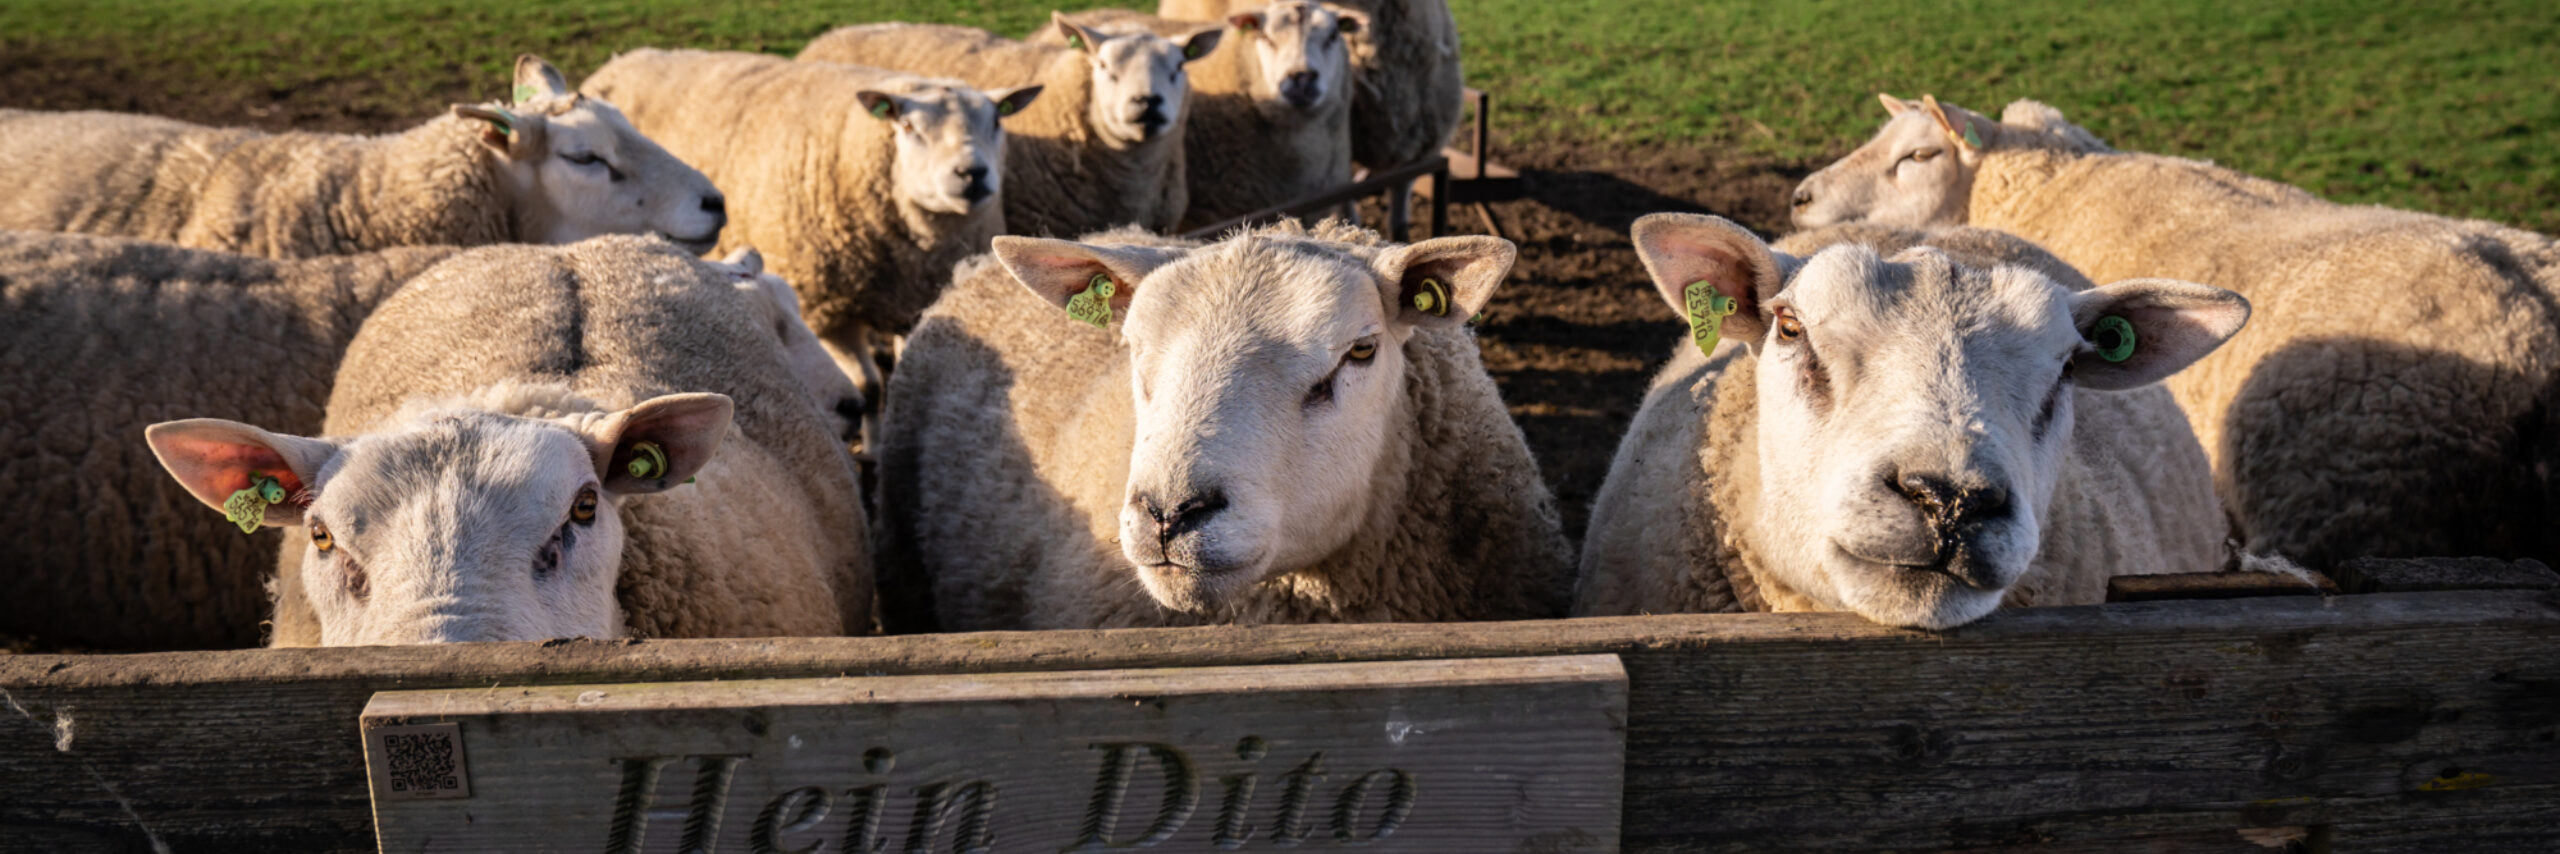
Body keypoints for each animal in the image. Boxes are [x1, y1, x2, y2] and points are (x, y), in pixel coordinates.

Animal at [581, 48, 1042, 350]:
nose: (972, 173)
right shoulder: (825, 306)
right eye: (909, 126)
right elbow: (870, 390)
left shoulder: (910, 304)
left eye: (997, 121)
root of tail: (624, 57)